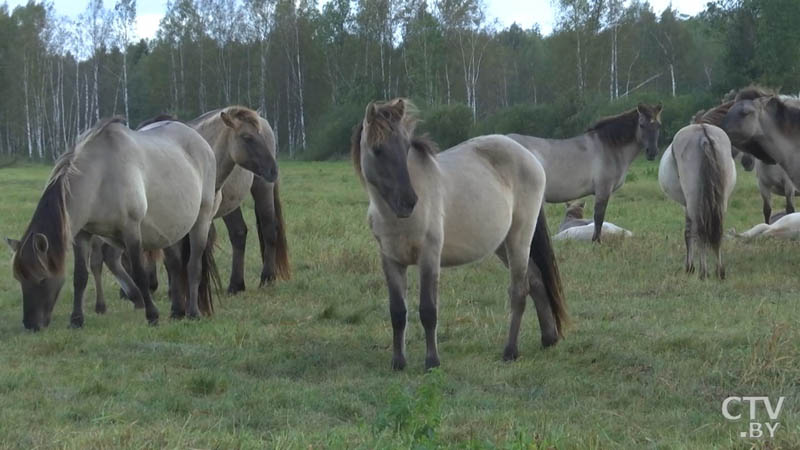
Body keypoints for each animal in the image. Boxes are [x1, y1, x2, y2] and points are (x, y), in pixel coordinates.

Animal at [6, 118, 220, 330]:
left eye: (42, 279)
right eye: (19, 278)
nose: (30, 324)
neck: (100, 176)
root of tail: (202, 143)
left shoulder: (131, 230)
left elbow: (139, 275)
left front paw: (152, 315)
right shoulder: (82, 235)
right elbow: (80, 277)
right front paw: (76, 319)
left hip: (201, 221)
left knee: (193, 266)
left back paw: (193, 313)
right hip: (170, 229)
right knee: (175, 266)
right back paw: (177, 312)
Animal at [352, 100, 568, 370]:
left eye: (405, 148)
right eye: (378, 150)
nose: (409, 202)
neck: (394, 217)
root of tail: (529, 156)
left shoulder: (429, 256)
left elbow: (428, 310)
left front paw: (432, 362)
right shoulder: (391, 260)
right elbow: (398, 312)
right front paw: (398, 363)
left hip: (519, 238)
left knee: (519, 291)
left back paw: (510, 351)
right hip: (501, 244)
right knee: (536, 279)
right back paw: (548, 338)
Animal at [512, 103, 664, 243]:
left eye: (658, 126)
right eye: (642, 125)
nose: (652, 152)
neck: (608, 147)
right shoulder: (603, 190)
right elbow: (599, 217)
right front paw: (596, 241)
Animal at [656, 123, 736, 278]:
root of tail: (703, 133)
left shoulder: (687, 206)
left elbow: (688, 233)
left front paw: (690, 267)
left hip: (694, 202)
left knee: (701, 232)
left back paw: (703, 272)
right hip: (720, 202)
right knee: (718, 231)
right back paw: (719, 271)